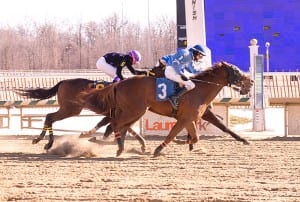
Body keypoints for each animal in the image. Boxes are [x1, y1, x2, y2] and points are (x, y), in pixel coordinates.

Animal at [78, 61, 252, 156]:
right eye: (236, 71)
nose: (250, 82)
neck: (200, 90)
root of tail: (119, 83)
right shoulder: (185, 118)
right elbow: (172, 134)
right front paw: (159, 149)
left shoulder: (192, 118)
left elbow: (198, 135)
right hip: (134, 110)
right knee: (114, 124)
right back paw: (115, 145)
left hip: (134, 111)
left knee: (121, 126)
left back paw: (121, 146)